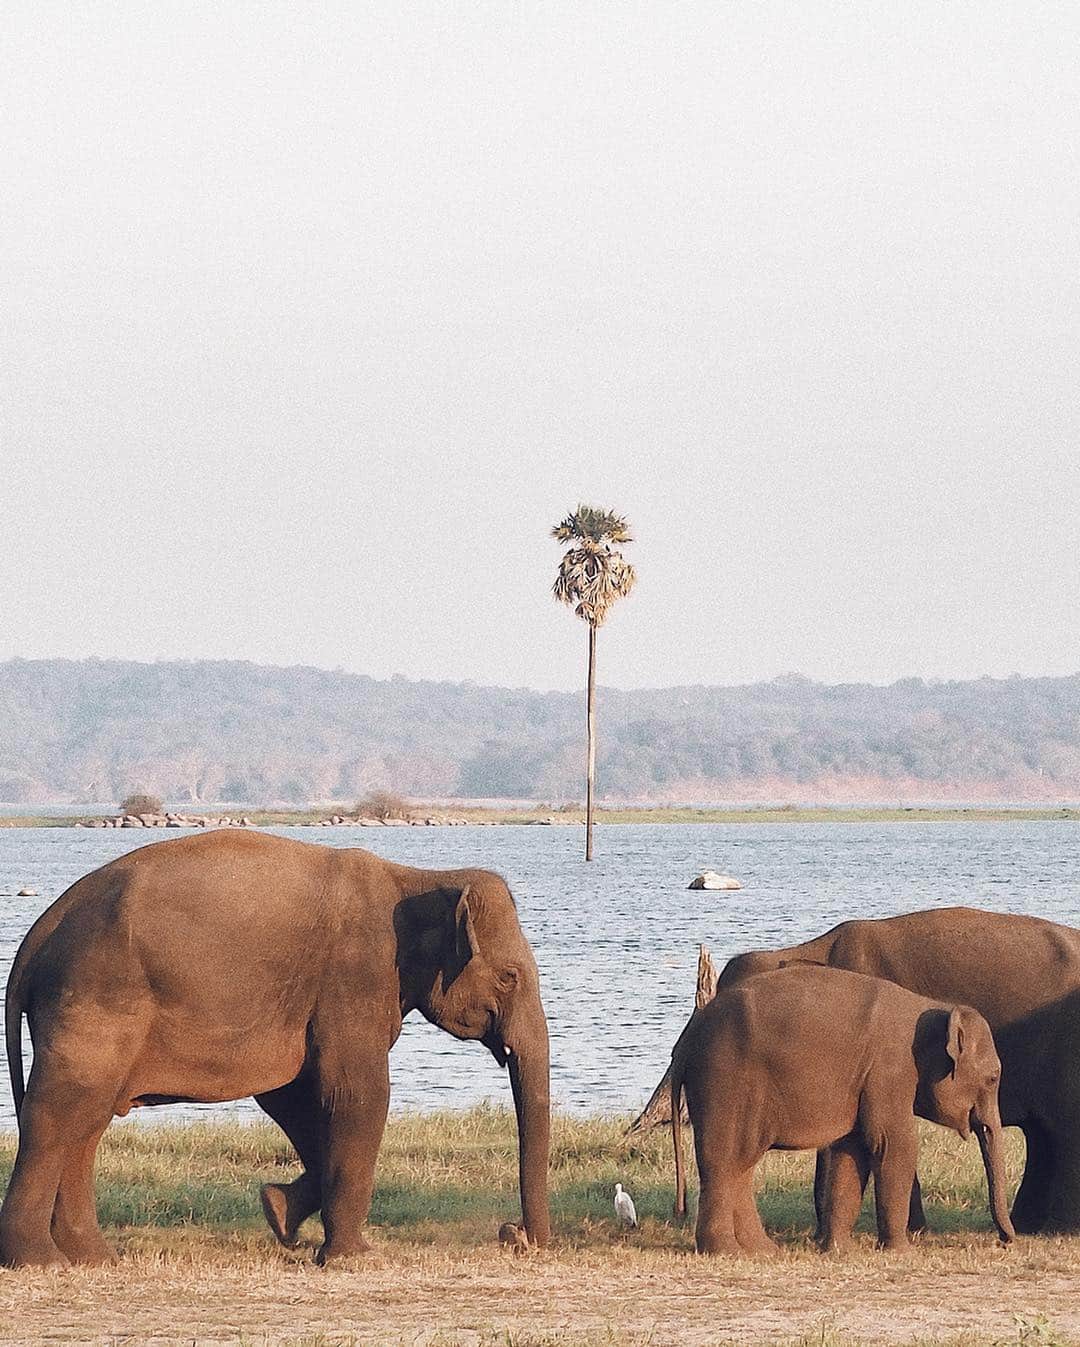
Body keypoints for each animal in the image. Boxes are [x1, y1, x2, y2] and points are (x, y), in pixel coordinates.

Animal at [0, 830, 550, 1268]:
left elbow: (294, 1097)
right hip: (95, 1001)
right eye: (510, 976)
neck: (416, 878)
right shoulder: (354, 977)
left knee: (87, 1119)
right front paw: (353, 1259)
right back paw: (41, 1263)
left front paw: (279, 1213)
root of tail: (38, 934)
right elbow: (357, 1095)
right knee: (58, 1113)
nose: (515, 1236)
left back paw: (94, 1259)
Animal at [669, 965, 1015, 1255]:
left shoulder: (865, 1080)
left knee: (740, 1165)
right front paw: (901, 1252)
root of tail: (685, 1042)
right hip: (724, 1082)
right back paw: (726, 1251)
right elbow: (893, 1144)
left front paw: (838, 1251)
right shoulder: (890, 1070)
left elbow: (853, 1149)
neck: (933, 1007)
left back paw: (763, 1251)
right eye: (993, 1077)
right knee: (723, 1160)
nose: (1006, 1240)